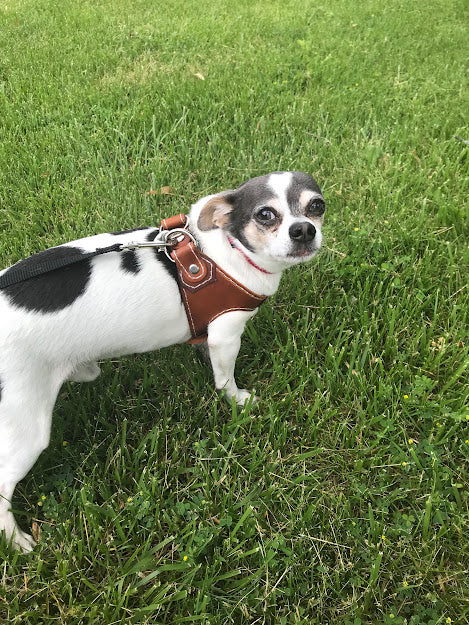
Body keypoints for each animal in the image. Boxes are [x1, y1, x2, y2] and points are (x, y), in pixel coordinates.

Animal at [0, 172, 324, 552]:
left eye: (316, 206)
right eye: (265, 215)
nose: (304, 230)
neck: (221, 250)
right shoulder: (227, 333)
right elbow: (225, 378)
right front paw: (238, 399)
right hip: (24, 424)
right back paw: (16, 540)